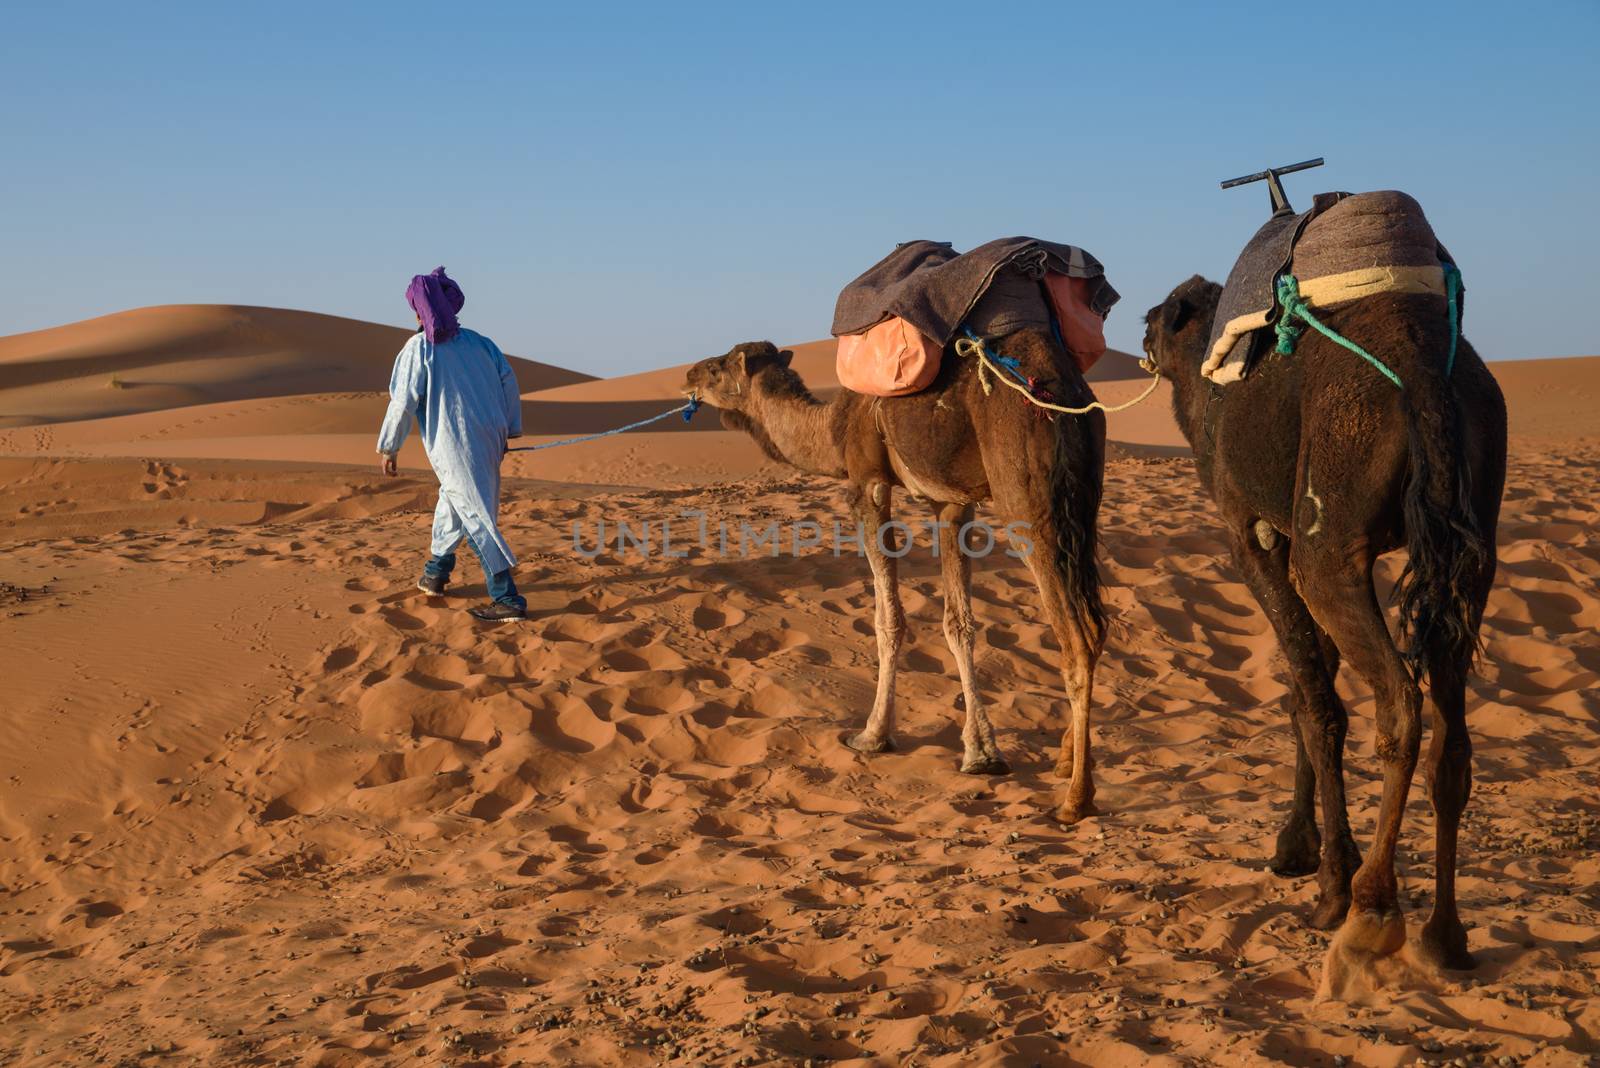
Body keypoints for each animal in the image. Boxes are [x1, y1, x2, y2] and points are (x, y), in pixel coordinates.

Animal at [681, 335, 1107, 824]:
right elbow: (958, 623)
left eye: (717, 367)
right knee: (1096, 627)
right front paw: (981, 752)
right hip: (1084, 501)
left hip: (1027, 501)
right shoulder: (951, 503)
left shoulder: (867, 482)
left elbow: (889, 619)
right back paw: (1065, 759)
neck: (832, 427)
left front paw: (872, 734)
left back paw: (1076, 798)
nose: (689, 376)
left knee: (1077, 636)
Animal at [1145, 273, 1504, 991]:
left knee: (1399, 702)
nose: (1139, 326)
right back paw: (1445, 937)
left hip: (1333, 531)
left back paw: (1369, 909)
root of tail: (1426, 377)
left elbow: (1316, 698)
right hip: (1474, 546)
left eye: (1163, 314)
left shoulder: (1249, 532)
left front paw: (1326, 876)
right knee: (1452, 731)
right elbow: (1308, 683)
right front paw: (1295, 846)